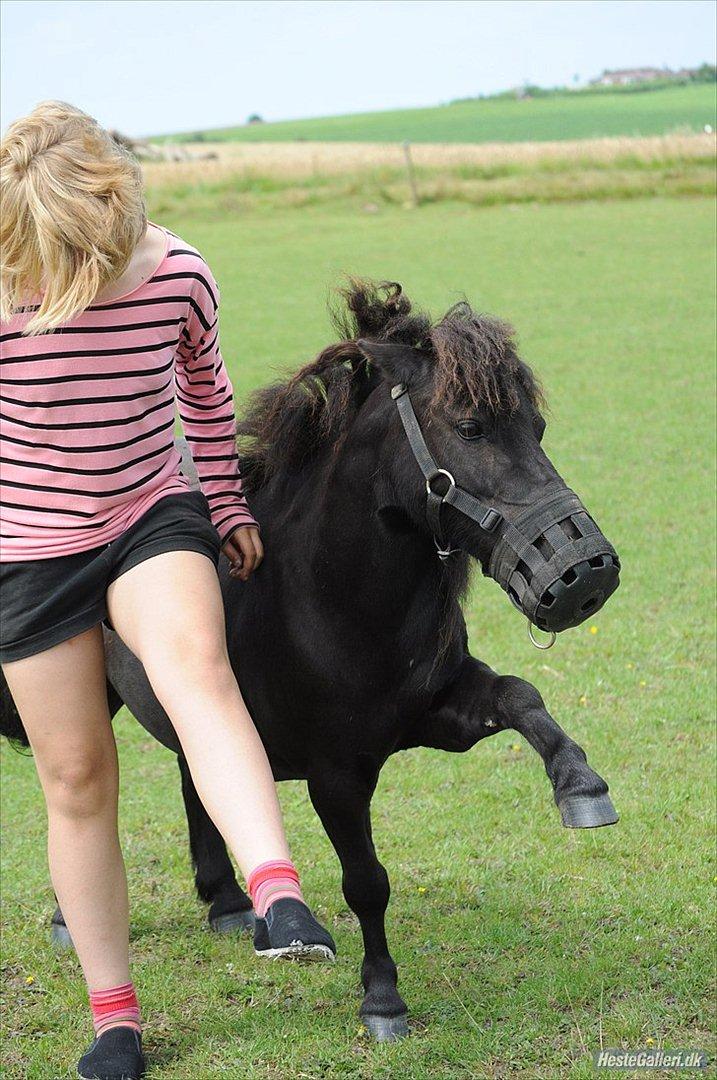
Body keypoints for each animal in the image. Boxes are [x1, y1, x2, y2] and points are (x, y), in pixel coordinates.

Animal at [0, 282, 617, 1041]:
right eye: (471, 427)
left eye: (535, 427)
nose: (586, 569)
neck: (325, 596)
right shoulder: (337, 774)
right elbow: (367, 882)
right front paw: (382, 1000)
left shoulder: (441, 712)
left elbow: (522, 696)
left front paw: (580, 785)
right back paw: (74, 915)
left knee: (193, 770)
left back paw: (230, 903)